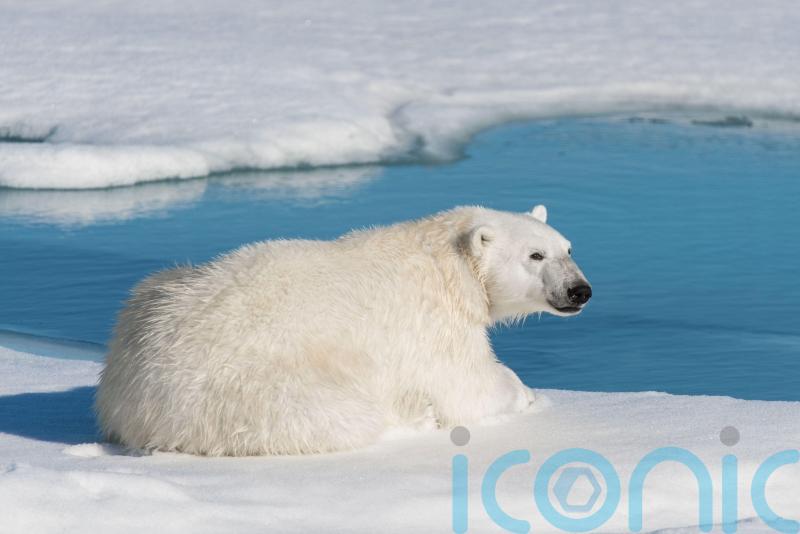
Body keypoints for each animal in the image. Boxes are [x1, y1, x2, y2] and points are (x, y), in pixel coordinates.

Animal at [95, 205, 591, 456]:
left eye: (567, 248)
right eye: (534, 256)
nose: (579, 290)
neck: (447, 265)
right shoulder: (431, 325)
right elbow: (465, 386)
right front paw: (522, 393)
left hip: (155, 291)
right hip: (251, 385)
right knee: (335, 416)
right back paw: (412, 419)